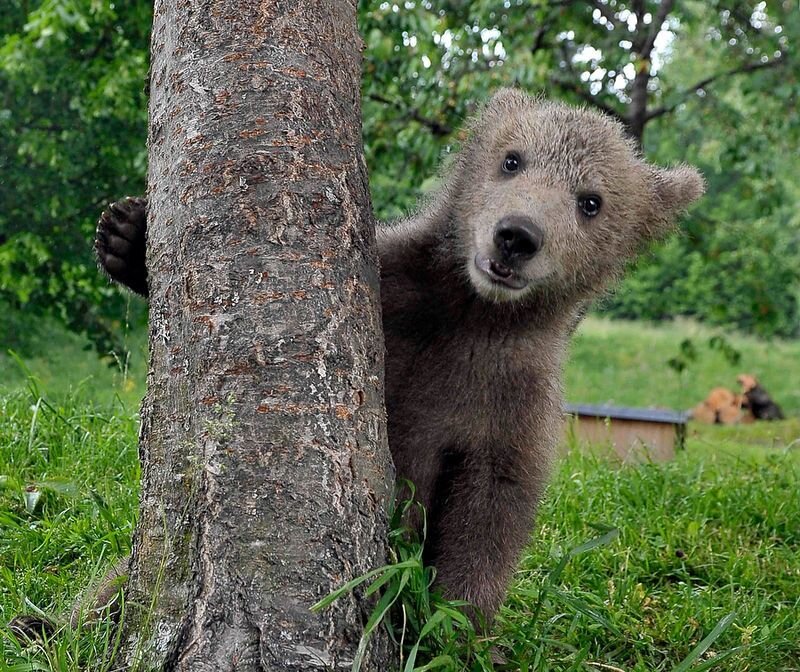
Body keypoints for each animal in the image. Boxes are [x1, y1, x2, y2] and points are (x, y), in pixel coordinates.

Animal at [31, 89, 706, 632]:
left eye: (590, 201)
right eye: (512, 159)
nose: (516, 235)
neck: (472, 313)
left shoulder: (510, 399)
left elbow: (489, 513)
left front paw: (447, 625)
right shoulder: (394, 295)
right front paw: (126, 235)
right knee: (122, 584)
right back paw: (43, 625)